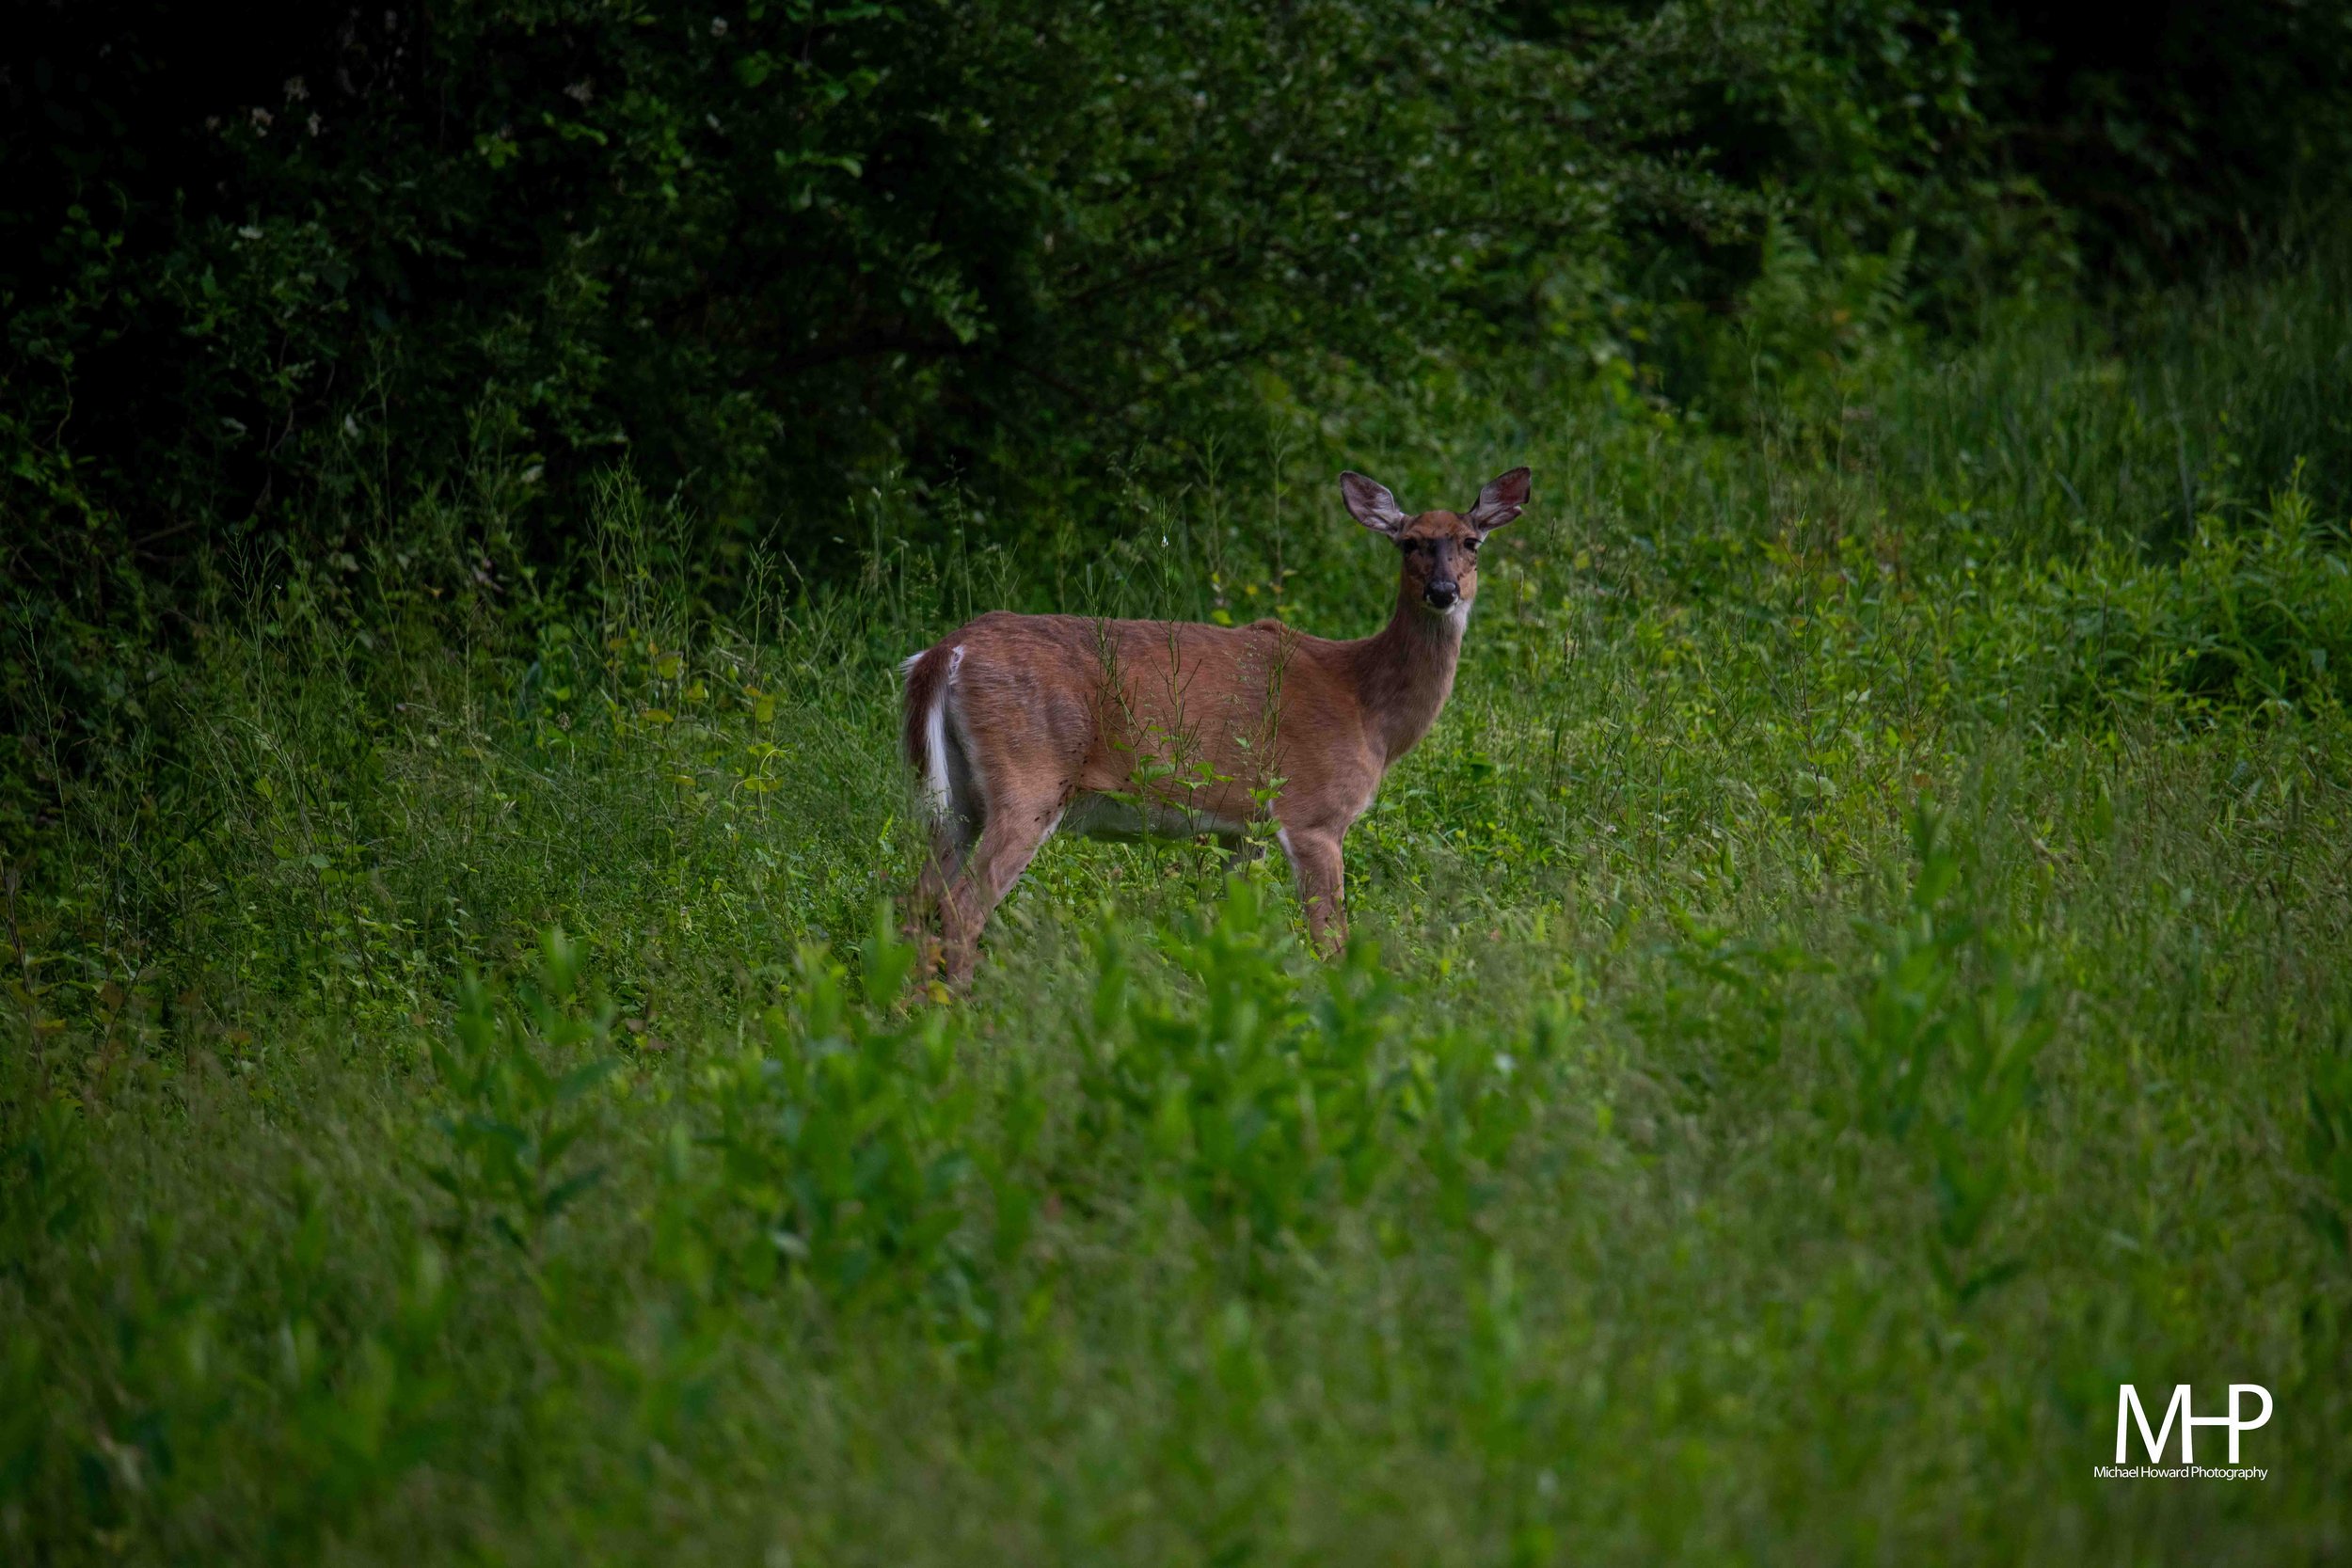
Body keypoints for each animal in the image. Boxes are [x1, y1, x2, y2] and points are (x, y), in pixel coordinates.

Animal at [900, 466, 1531, 985]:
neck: (1366, 706)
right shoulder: (1314, 813)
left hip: (955, 797)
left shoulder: (1241, 829)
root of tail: (946, 652)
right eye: (1409, 543)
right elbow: (1331, 940)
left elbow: (1232, 933)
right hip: (1028, 779)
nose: (1443, 591)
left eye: (1472, 542)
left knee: (915, 902)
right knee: (960, 910)